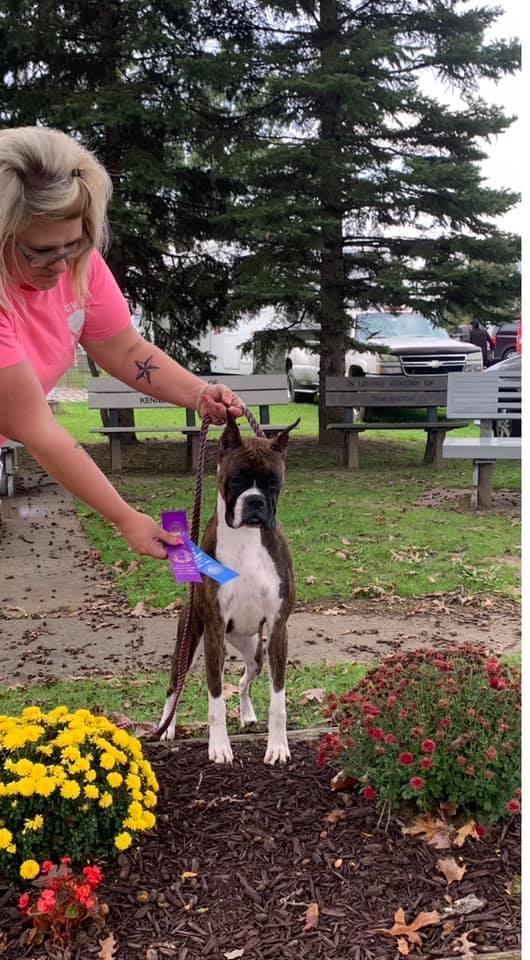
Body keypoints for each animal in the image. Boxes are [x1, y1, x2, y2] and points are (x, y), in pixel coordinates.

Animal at [159, 416, 298, 764]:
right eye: (236, 479)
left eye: (272, 482)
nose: (255, 501)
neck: (247, 539)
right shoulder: (214, 630)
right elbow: (215, 698)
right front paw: (219, 746)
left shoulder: (278, 629)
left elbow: (278, 699)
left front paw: (278, 746)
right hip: (191, 640)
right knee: (174, 686)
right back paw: (166, 727)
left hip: (256, 649)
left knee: (245, 678)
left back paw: (247, 714)